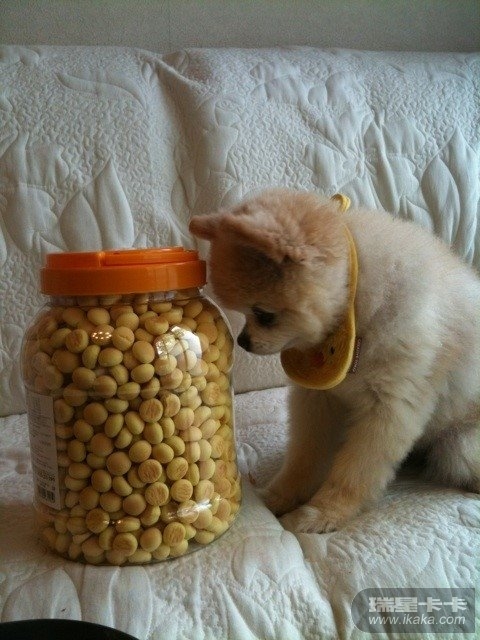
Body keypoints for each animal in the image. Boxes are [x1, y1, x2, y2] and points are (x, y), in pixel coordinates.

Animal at [189, 189, 480, 533]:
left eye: (263, 315)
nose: (244, 341)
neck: (353, 314)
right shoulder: (318, 399)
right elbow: (305, 455)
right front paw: (282, 495)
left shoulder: (389, 410)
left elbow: (354, 472)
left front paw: (324, 512)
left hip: (460, 448)